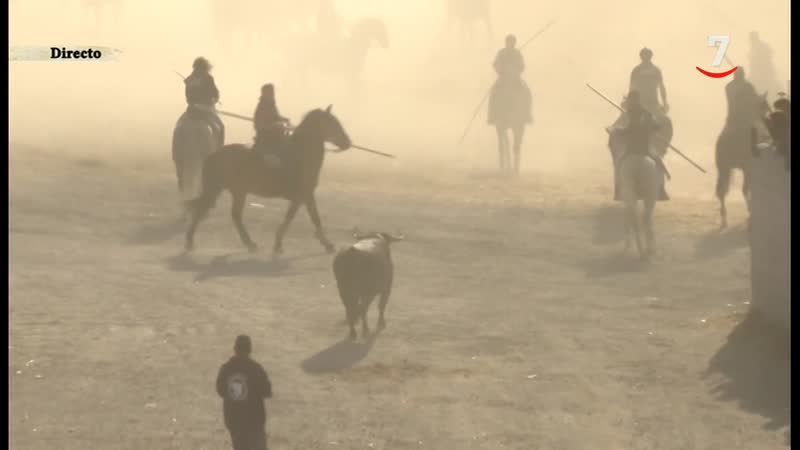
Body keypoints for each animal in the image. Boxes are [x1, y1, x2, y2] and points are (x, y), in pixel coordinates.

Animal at [187, 104, 354, 253]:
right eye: (332, 123)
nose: (347, 143)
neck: (299, 155)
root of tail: (213, 155)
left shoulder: (303, 197)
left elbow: (303, 217)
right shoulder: (304, 195)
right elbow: (304, 218)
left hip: (236, 192)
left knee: (233, 215)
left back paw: (249, 244)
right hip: (220, 190)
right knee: (203, 211)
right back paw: (191, 242)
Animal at [716, 90, 772, 229]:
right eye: (765, 105)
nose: (770, 113)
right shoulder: (749, 169)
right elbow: (748, 189)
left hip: (723, 168)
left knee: (721, 191)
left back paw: (724, 218)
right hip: (743, 169)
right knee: (743, 189)